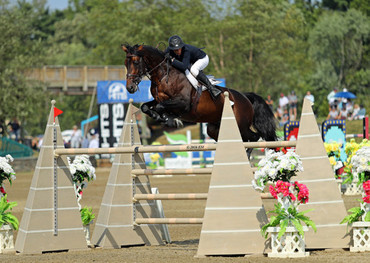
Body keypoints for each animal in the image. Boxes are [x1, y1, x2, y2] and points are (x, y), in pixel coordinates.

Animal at [121, 43, 278, 157]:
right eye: (125, 63)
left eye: (136, 62)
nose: (130, 88)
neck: (164, 76)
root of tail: (246, 97)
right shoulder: (158, 99)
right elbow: (146, 107)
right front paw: (159, 117)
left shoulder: (183, 103)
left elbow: (161, 107)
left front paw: (169, 119)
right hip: (214, 129)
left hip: (241, 125)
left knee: (255, 137)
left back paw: (247, 156)